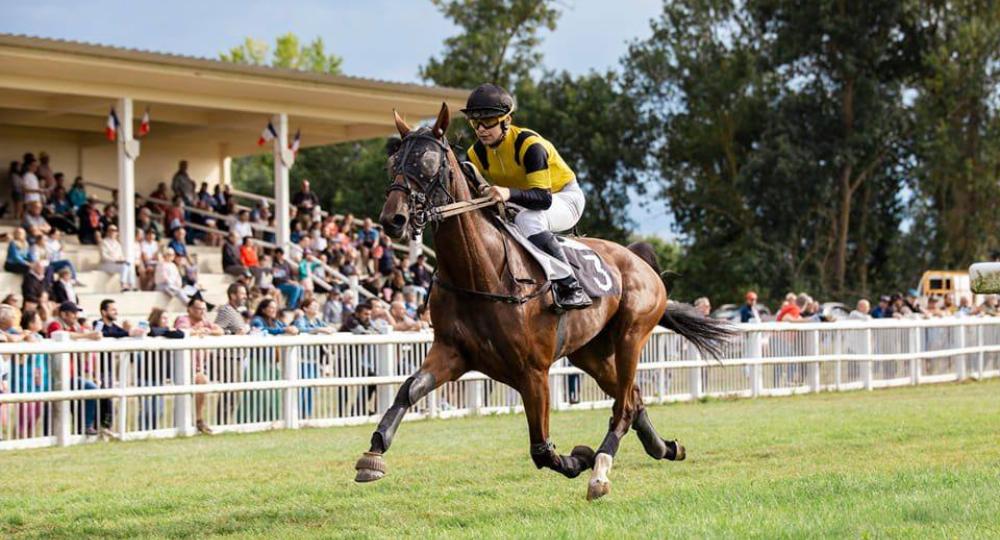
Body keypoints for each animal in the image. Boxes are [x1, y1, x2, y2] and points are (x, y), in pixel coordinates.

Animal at [356, 103, 732, 500]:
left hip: (632, 333)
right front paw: (373, 453)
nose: (393, 219)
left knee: (623, 406)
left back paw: (600, 469)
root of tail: (640, 259)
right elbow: (407, 390)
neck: (479, 272)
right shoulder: (452, 352)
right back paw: (665, 448)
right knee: (633, 396)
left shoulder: (532, 371)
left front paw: (579, 459)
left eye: (428, 163)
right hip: (589, 352)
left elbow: (541, 449)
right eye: (393, 162)